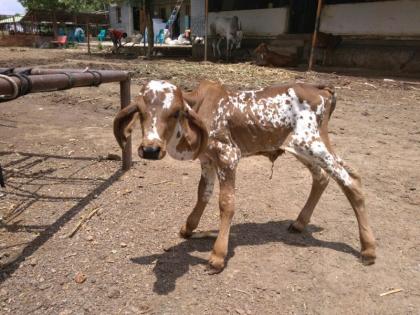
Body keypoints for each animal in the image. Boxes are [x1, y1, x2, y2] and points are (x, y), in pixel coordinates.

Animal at [113, 80, 376, 272]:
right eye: (140, 112)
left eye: (176, 112)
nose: (150, 149)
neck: (202, 105)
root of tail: (321, 89)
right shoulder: (207, 160)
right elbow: (203, 193)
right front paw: (189, 228)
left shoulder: (228, 157)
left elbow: (226, 203)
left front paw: (218, 255)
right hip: (301, 148)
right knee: (323, 177)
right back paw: (300, 223)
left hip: (313, 145)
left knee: (351, 181)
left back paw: (368, 249)